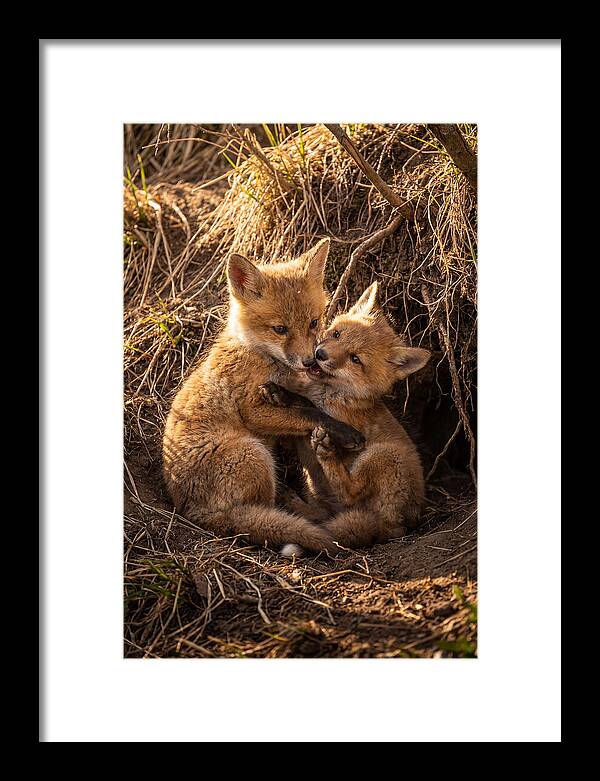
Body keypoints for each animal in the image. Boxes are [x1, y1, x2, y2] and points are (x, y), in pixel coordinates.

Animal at [162, 239, 365, 554]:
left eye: (313, 322)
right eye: (280, 329)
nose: (310, 361)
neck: (258, 355)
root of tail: (190, 511)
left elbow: (304, 403)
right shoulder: (252, 410)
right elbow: (309, 413)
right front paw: (345, 432)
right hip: (254, 454)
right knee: (264, 512)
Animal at [260, 281, 431, 556]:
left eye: (355, 359)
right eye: (337, 334)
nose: (320, 354)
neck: (329, 392)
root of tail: (399, 526)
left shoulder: (338, 421)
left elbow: (311, 408)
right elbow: (301, 403)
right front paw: (280, 392)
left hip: (383, 455)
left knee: (350, 492)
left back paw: (327, 454)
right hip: (323, 495)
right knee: (324, 515)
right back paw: (294, 502)